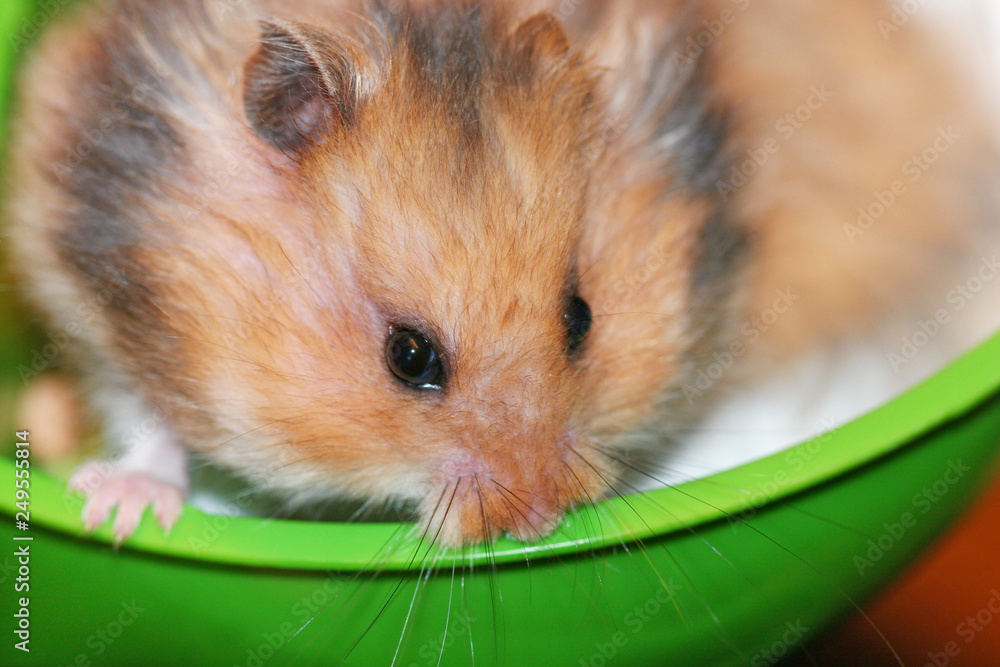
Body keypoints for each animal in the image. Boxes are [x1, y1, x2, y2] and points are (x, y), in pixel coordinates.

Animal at [3, 0, 996, 548]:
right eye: (409, 356)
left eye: (581, 316)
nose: (541, 521)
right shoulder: (102, 287)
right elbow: (147, 415)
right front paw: (119, 513)